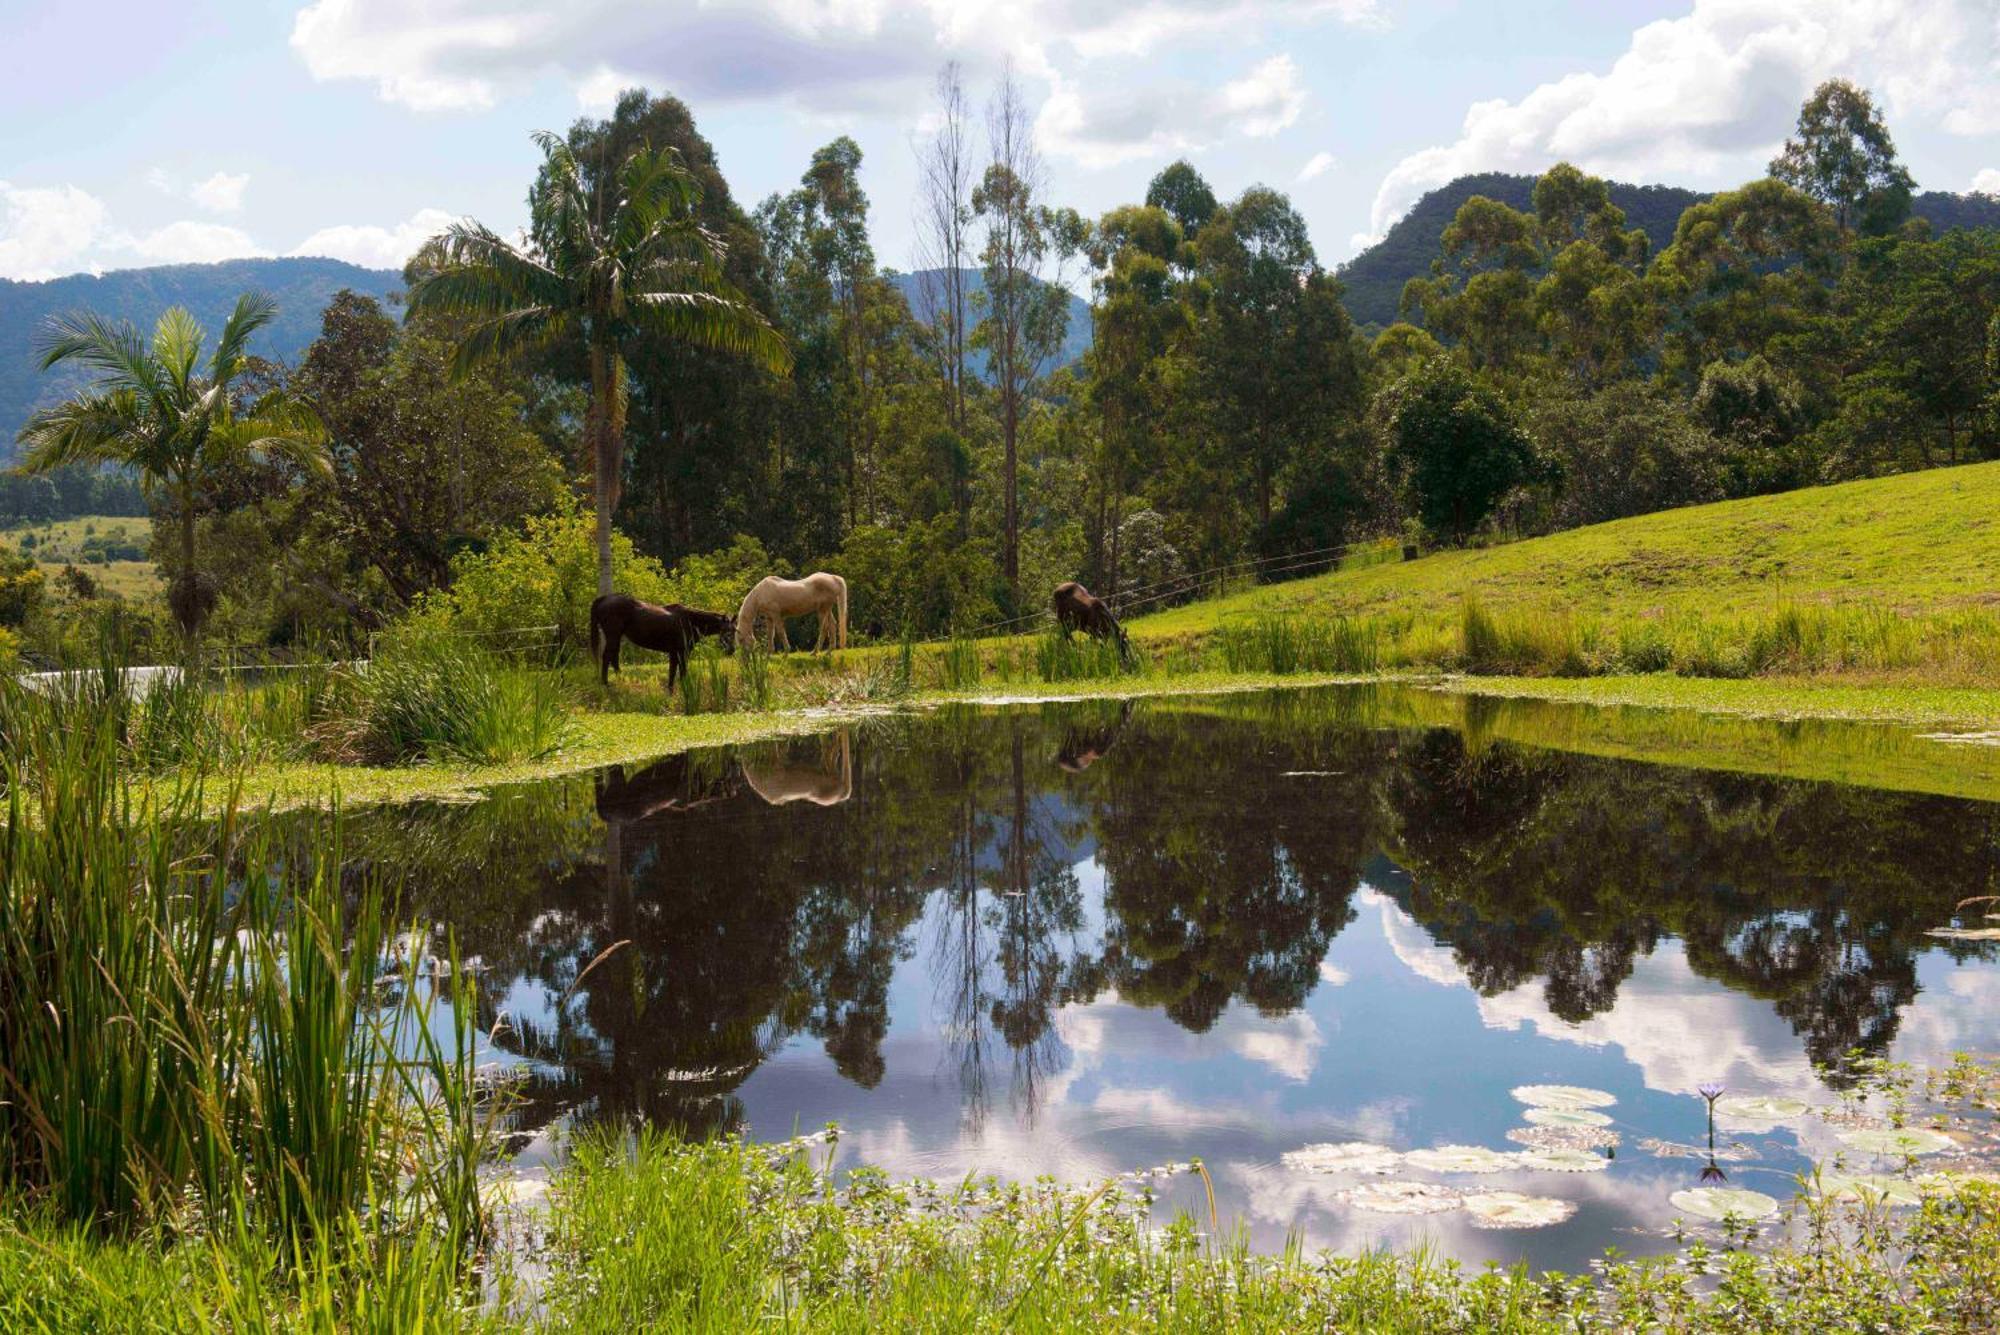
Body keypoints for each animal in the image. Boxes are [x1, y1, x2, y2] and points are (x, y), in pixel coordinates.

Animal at [588, 595, 740, 695]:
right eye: (727, 631)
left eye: (735, 631)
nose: (731, 650)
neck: (689, 621)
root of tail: (605, 599)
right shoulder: (679, 652)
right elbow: (677, 672)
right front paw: (676, 691)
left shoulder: (678, 653)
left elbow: (676, 672)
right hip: (613, 635)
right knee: (607, 657)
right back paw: (605, 684)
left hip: (616, 637)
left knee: (614, 657)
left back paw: (620, 680)